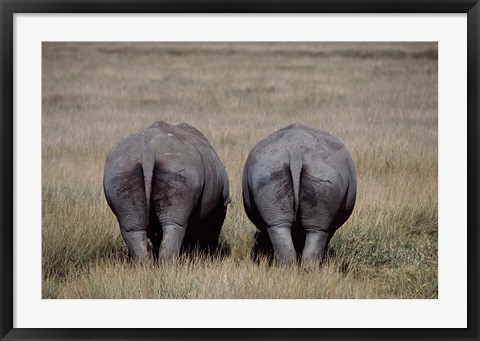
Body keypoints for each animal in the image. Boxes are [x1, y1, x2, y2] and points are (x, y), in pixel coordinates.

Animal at [103, 121, 231, 262]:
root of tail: (148, 151)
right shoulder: (223, 203)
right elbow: (213, 229)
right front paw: (209, 255)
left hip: (121, 170)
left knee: (132, 228)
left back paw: (145, 265)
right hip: (179, 167)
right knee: (175, 225)